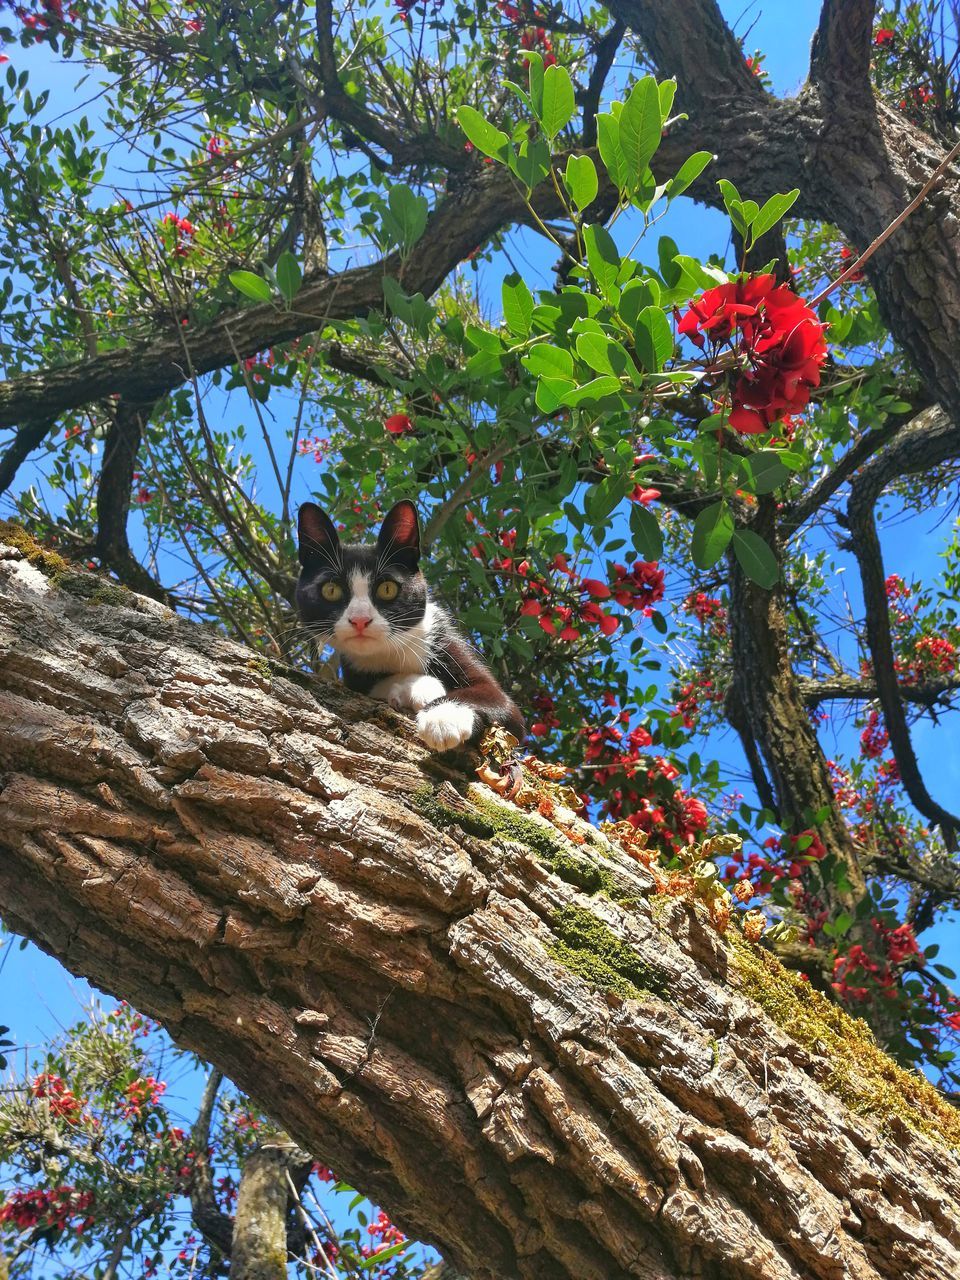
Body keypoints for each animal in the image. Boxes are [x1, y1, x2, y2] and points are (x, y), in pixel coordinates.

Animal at [296, 499, 527, 747]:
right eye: (331, 590)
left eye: (387, 589)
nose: (360, 619)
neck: (390, 651)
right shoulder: (354, 676)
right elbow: (374, 685)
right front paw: (421, 687)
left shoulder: (443, 638)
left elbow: (497, 699)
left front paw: (443, 716)